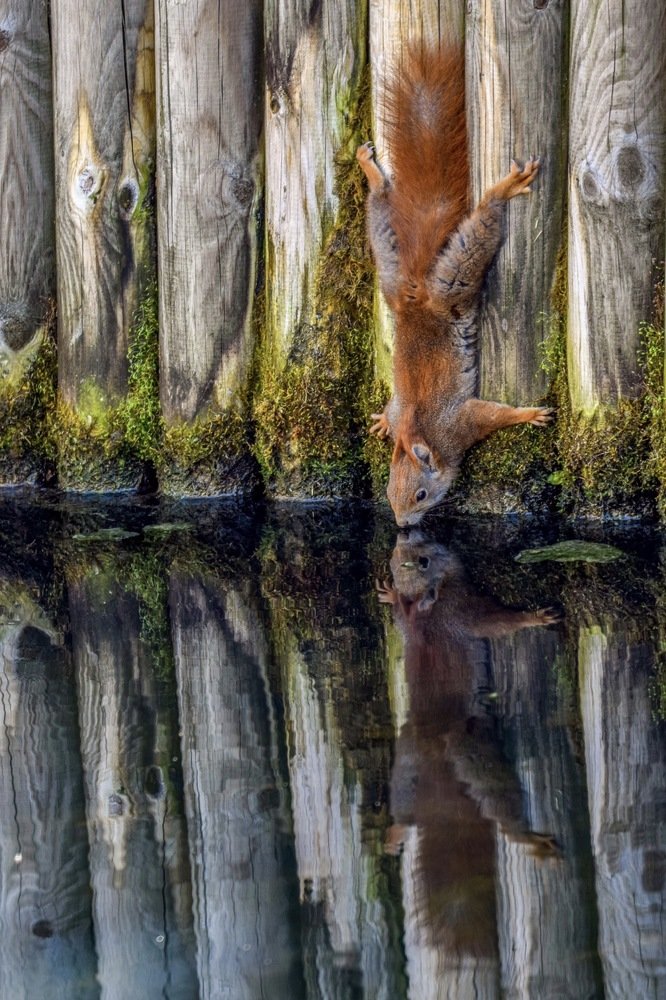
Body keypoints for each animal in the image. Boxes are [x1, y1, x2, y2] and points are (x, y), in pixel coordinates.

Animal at [357, 46, 553, 526]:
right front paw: (385, 421)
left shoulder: (459, 424)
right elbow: (394, 409)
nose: (403, 527)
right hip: (389, 268)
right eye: (388, 494)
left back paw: (503, 189)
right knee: (379, 212)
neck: (421, 433)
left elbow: (493, 414)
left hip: (454, 280)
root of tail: (417, 299)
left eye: (421, 494)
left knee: (483, 223)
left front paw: (527, 414)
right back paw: (372, 174)